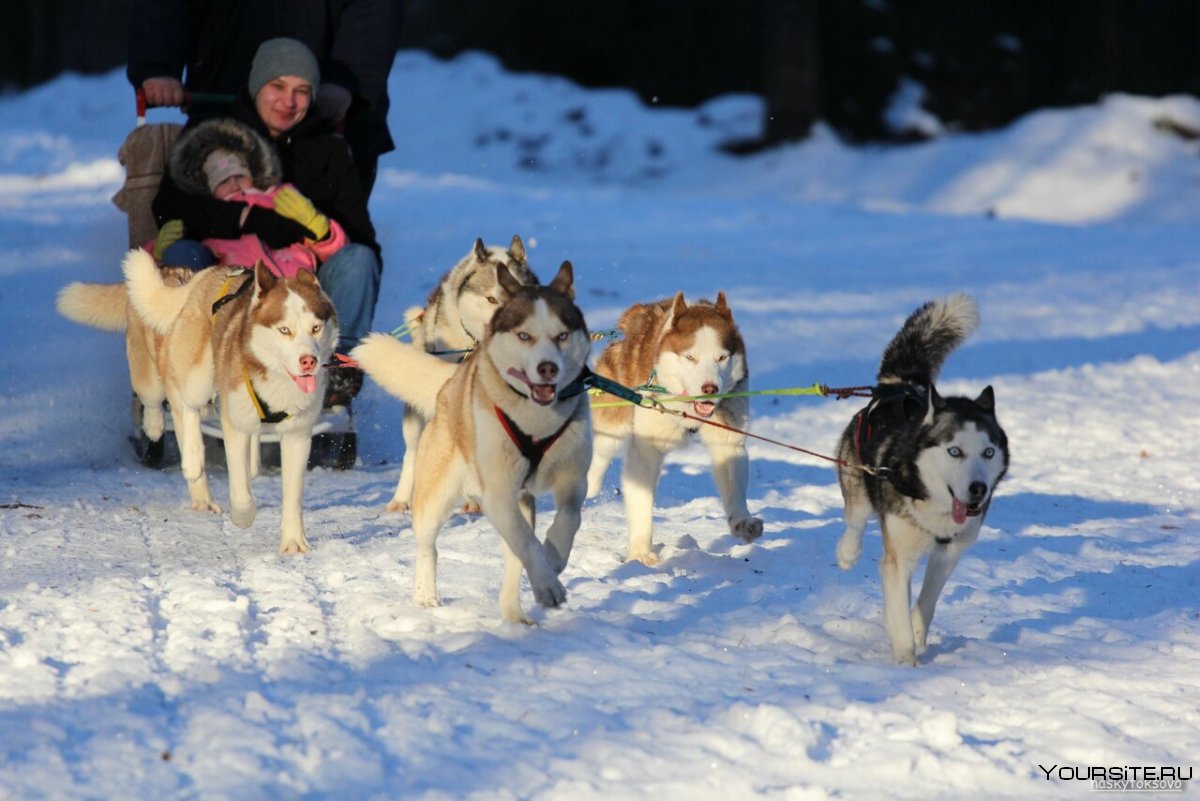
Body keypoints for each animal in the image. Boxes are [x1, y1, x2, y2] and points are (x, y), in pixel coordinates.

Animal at [123, 248, 338, 551]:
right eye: (284, 330)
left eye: (316, 328)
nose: (309, 361)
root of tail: (209, 273)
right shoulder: (233, 423)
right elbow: (239, 490)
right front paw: (243, 516)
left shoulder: (297, 434)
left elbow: (293, 496)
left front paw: (294, 542)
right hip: (196, 376)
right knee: (180, 403)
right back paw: (182, 449)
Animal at [583, 292, 758, 563]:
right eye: (690, 357)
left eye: (721, 357)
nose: (710, 388)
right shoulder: (647, 447)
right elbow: (642, 497)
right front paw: (640, 553)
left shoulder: (728, 436)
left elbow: (733, 478)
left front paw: (742, 520)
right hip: (614, 419)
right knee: (601, 455)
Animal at [835, 293, 1012, 661]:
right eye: (954, 451)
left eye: (988, 452)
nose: (978, 488)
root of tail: (897, 386)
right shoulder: (898, 559)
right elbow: (900, 613)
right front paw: (906, 659)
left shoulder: (949, 553)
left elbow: (925, 603)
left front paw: (918, 633)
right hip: (855, 475)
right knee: (855, 517)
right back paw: (847, 552)